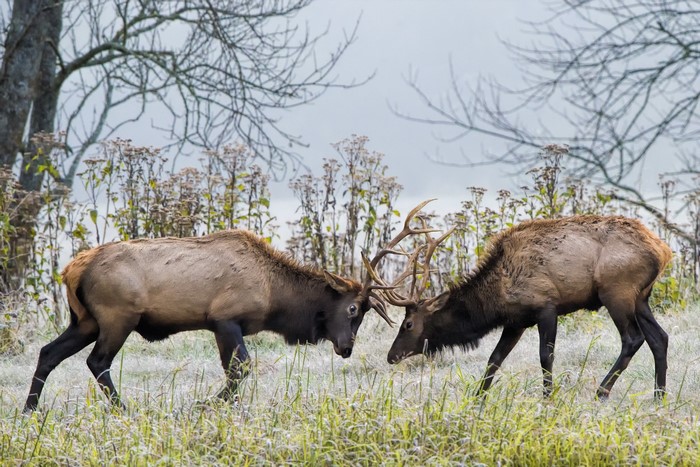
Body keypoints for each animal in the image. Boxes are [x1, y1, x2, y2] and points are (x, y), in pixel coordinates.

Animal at [23, 228, 403, 413]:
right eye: (353, 309)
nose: (346, 347)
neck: (275, 296)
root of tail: (71, 270)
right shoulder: (225, 319)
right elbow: (241, 368)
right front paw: (206, 403)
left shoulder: (220, 325)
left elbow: (233, 370)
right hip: (118, 317)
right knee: (97, 361)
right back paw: (123, 409)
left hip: (85, 321)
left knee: (48, 353)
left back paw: (29, 411)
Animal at [366, 215, 673, 400]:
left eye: (408, 324)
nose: (391, 356)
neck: (494, 300)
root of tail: (664, 251)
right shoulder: (516, 321)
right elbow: (494, 359)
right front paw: (477, 398)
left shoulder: (546, 306)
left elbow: (545, 357)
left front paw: (548, 398)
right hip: (641, 297)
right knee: (660, 337)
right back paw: (659, 396)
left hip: (617, 291)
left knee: (633, 338)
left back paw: (601, 392)